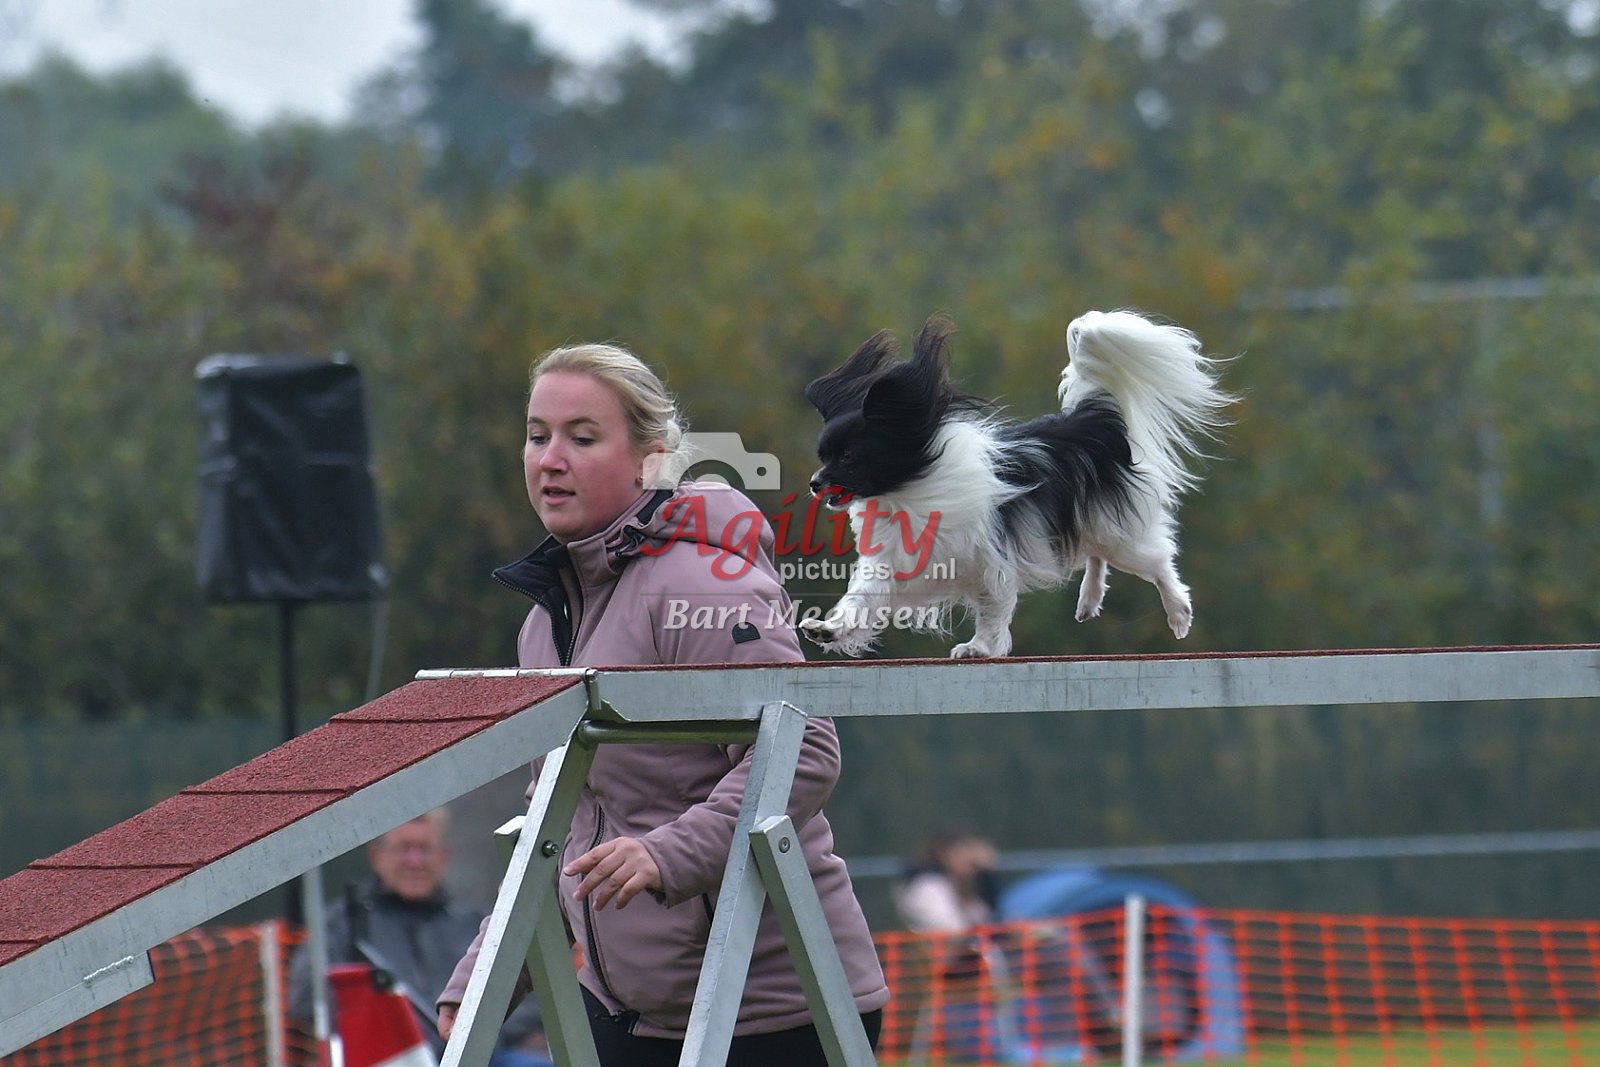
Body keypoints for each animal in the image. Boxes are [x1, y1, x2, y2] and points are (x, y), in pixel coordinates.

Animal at [798, 309, 1233, 658]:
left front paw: (979, 648)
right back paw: (1089, 601)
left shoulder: (991, 566)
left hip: (1120, 536)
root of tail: (1089, 420)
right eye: (823, 456)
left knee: (1156, 560)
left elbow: (992, 611)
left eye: (849, 457)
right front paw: (829, 630)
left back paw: (1178, 612)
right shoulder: (893, 567)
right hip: (1092, 523)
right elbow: (861, 601)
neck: (905, 490)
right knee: (1095, 551)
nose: (815, 483)